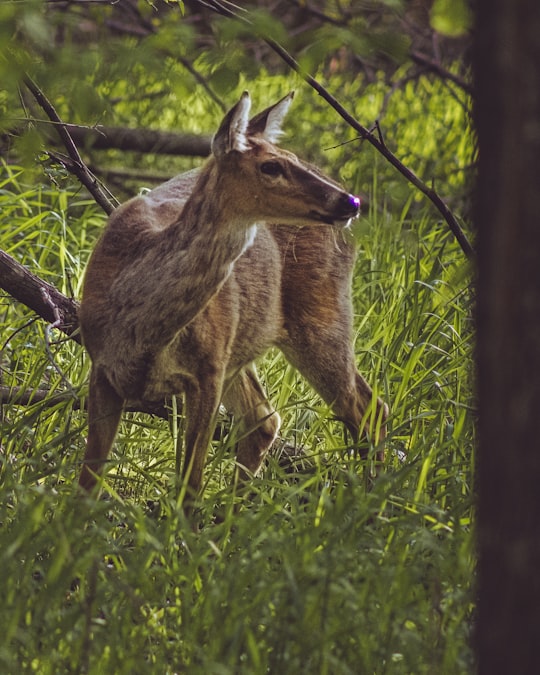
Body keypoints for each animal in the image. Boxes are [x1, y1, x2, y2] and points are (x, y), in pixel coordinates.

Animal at [77, 92, 388, 510]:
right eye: (270, 165)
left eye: (287, 156)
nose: (350, 202)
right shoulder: (101, 368)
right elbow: (87, 483)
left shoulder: (208, 369)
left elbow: (189, 487)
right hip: (245, 346)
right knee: (265, 419)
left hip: (321, 317)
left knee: (368, 409)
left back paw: (375, 504)